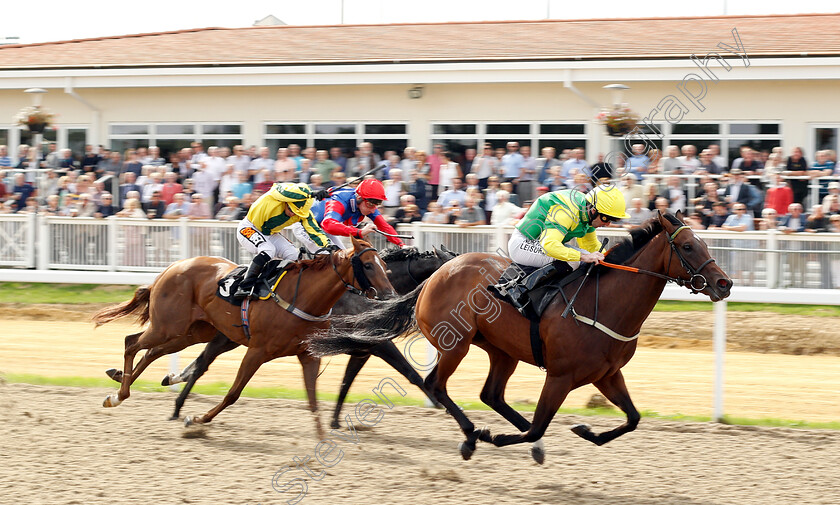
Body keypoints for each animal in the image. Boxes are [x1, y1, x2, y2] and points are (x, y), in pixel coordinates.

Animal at [93, 237, 396, 438]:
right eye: (368, 265)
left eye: (385, 264)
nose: (390, 295)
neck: (304, 297)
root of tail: (171, 268)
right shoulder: (258, 351)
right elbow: (233, 393)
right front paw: (196, 419)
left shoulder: (308, 355)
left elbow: (312, 401)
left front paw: (321, 440)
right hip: (168, 326)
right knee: (132, 343)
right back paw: (118, 395)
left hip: (189, 332)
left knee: (151, 352)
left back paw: (119, 389)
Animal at [147, 246, 456, 424]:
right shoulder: (378, 346)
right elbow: (411, 374)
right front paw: (439, 402)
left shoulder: (362, 350)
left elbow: (345, 383)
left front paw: (333, 420)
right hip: (227, 337)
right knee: (200, 363)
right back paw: (177, 402)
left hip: (229, 336)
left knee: (201, 362)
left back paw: (175, 396)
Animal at [308, 213, 728, 460]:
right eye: (688, 246)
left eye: (705, 243)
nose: (724, 283)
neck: (602, 303)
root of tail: (437, 274)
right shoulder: (561, 376)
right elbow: (540, 423)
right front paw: (500, 438)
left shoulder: (607, 374)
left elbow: (633, 418)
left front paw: (585, 430)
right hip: (456, 343)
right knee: (435, 384)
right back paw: (471, 436)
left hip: (502, 350)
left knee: (490, 394)